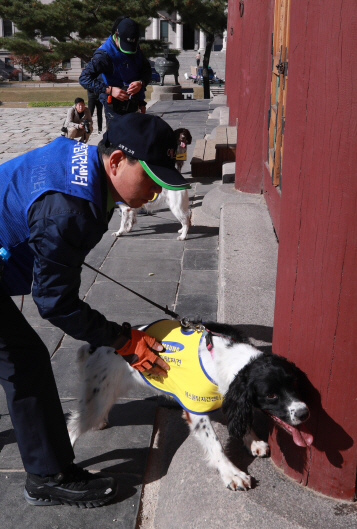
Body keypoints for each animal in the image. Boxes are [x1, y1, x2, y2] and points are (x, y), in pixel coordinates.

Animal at [67, 322, 312, 490]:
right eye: (271, 395)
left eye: (294, 383)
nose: (304, 412)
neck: (225, 357)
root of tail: (95, 346)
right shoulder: (195, 410)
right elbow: (215, 444)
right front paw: (232, 473)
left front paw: (252, 441)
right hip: (97, 400)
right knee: (71, 428)